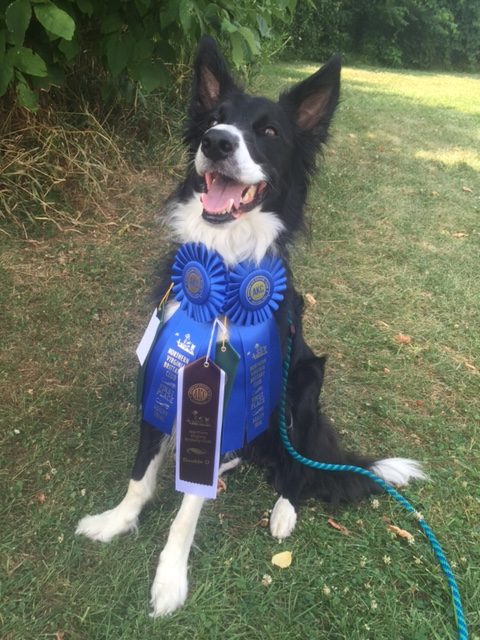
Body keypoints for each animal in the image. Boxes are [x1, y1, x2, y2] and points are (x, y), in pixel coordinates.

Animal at [77, 36, 426, 616]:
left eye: (269, 132)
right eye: (214, 119)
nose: (217, 142)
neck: (222, 264)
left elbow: (187, 509)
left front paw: (170, 577)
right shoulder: (164, 369)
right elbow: (140, 474)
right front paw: (116, 522)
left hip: (304, 382)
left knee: (296, 464)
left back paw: (284, 508)